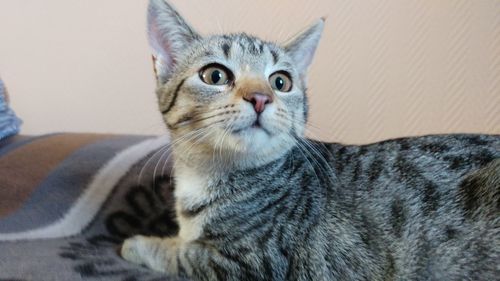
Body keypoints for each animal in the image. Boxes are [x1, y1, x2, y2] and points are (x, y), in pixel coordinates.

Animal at [120, 1, 500, 278]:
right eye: (215, 75)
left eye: (281, 82)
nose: (261, 98)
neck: (208, 175)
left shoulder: (254, 264)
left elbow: (184, 255)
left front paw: (138, 244)